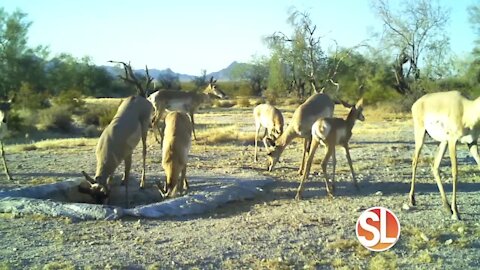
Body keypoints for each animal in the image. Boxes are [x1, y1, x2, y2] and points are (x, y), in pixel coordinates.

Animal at [80, 60, 152, 205]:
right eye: (94, 197)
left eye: (102, 196)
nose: (103, 204)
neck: (109, 143)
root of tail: (140, 97)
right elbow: (111, 179)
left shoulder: (128, 155)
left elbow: (127, 176)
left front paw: (127, 201)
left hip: (145, 129)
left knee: (144, 151)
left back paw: (142, 184)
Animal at [410, 89, 480, 220]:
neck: (466, 109)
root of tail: (417, 102)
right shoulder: (453, 141)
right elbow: (455, 172)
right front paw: (456, 212)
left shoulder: (472, 143)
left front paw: (453, 210)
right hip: (421, 137)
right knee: (415, 162)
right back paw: (412, 200)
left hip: (443, 142)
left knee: (435, 166)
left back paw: (447, 207)